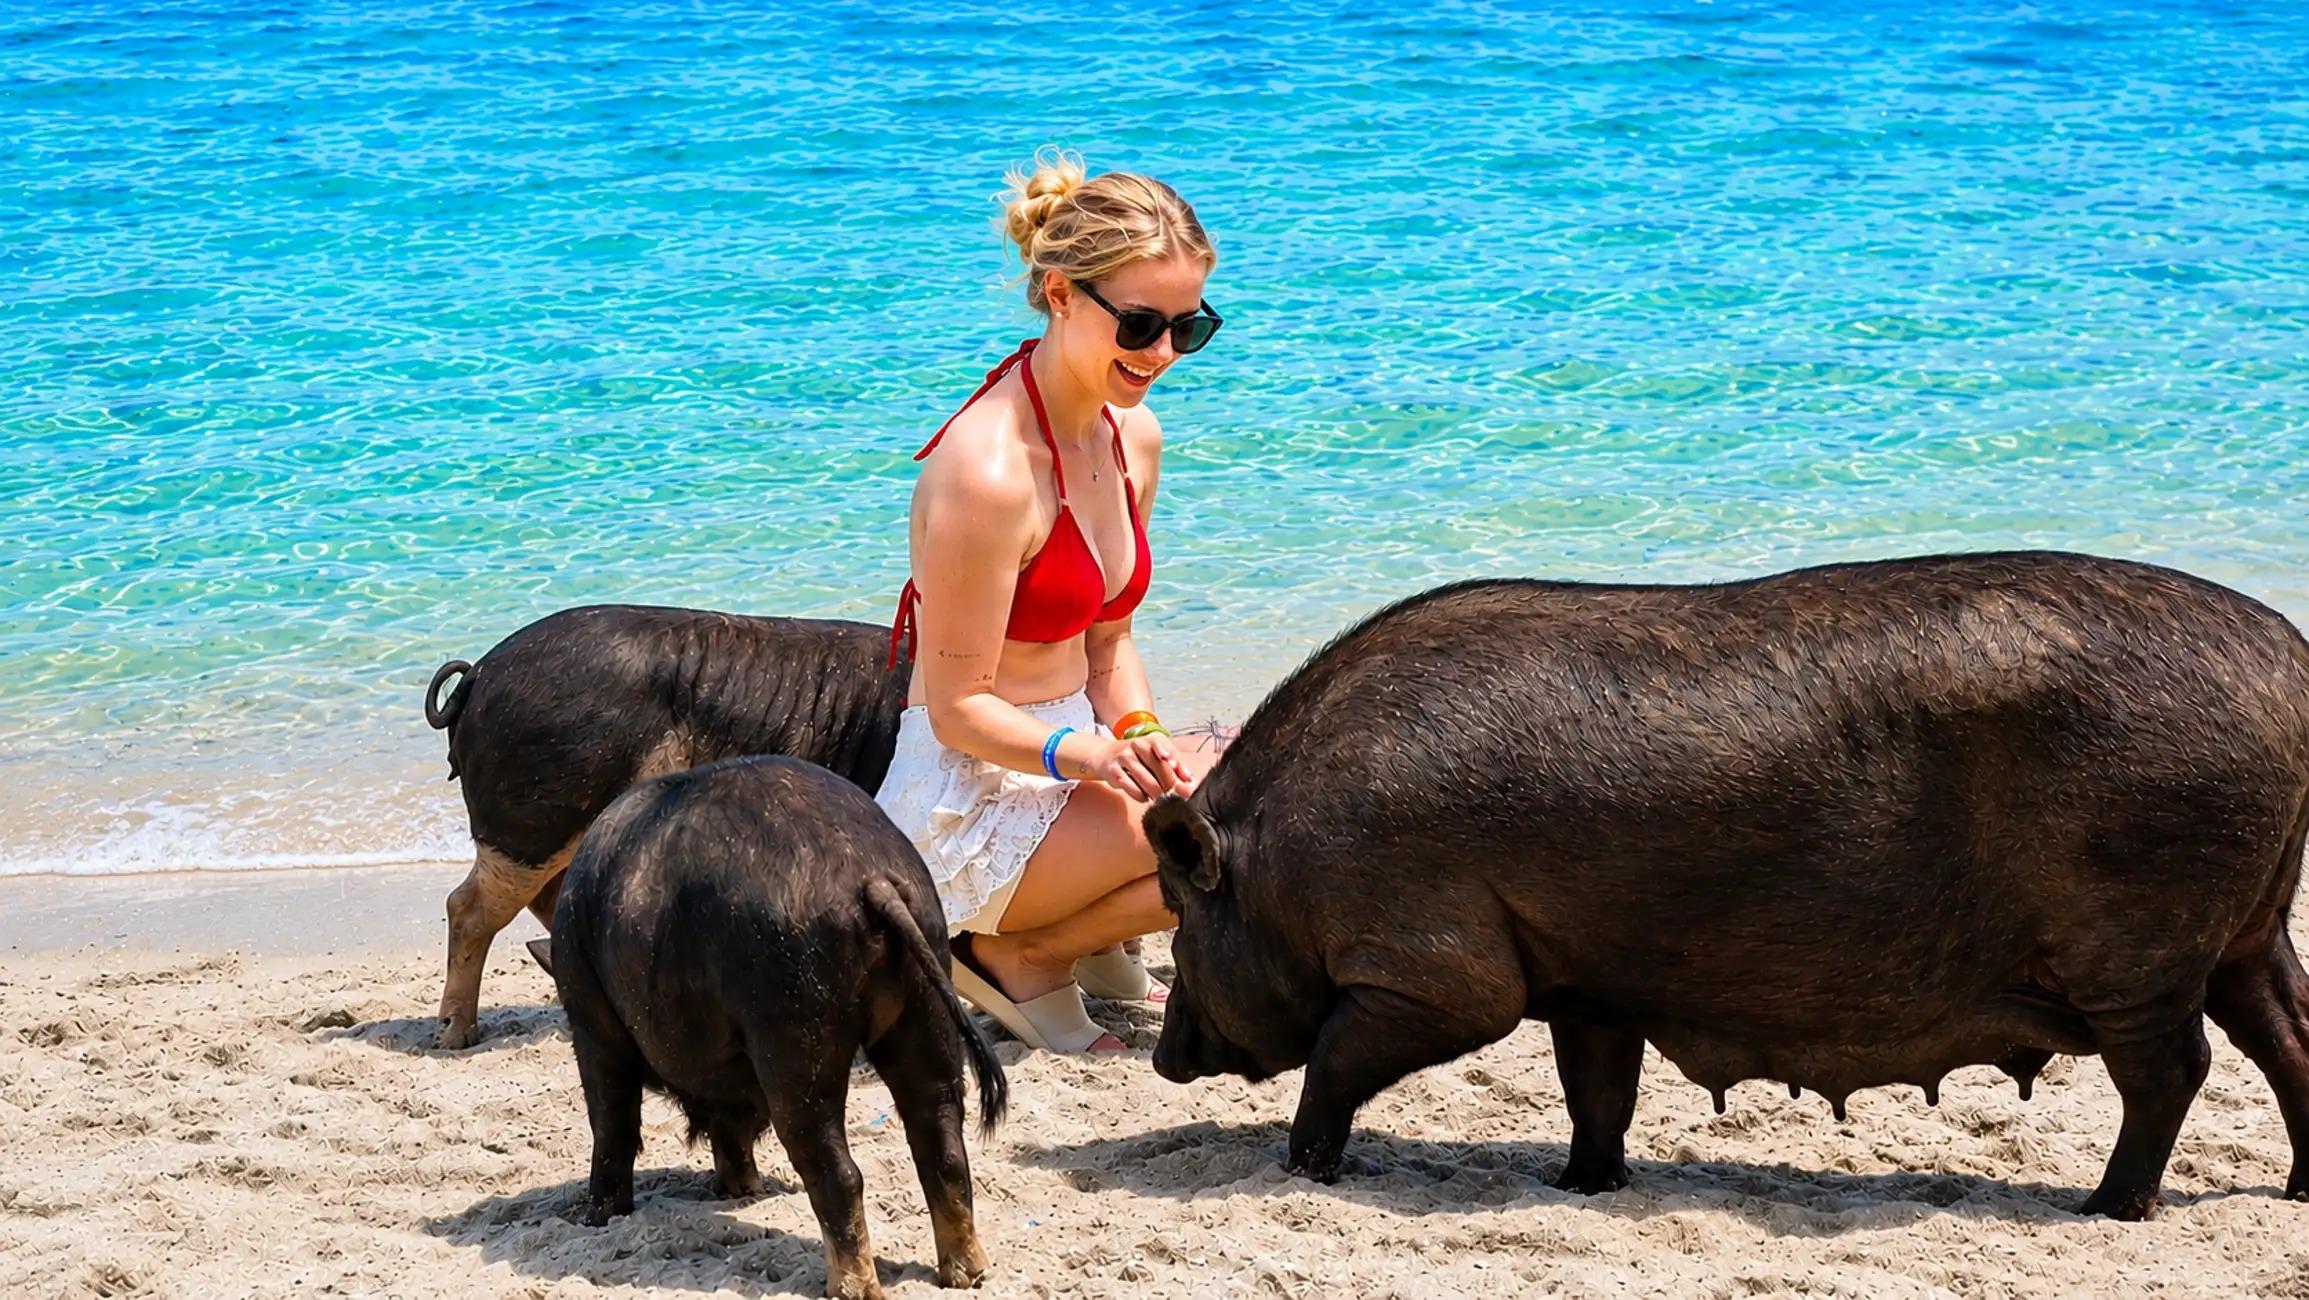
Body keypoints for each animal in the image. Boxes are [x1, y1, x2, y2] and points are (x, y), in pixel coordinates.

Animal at [553, 753, 1006, 1299]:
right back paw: (968, 1273)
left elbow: (611, 1119)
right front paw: (744, 1190)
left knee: (835, 1166)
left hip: (792, 1027)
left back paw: (851, 1288)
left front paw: (596, 1217)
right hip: (926, 1001)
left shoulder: (592, 1019)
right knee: (940, 1136)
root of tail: (871, 876)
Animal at [1147, 551, 2309, 1220]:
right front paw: (1579, 1185)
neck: (1281, 858)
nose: (1161, 1056)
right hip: (2248, 924)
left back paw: (2105, 1207)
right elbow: (1595, 1087)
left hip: (2141, 932)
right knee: (2285, 1031)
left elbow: (1341, 1055)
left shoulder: (1435, 969)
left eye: (1179, 911)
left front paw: (1300, 1168)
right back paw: (2293, 1189)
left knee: (2174, 1065)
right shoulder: (1587, 981)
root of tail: (2290, 663)